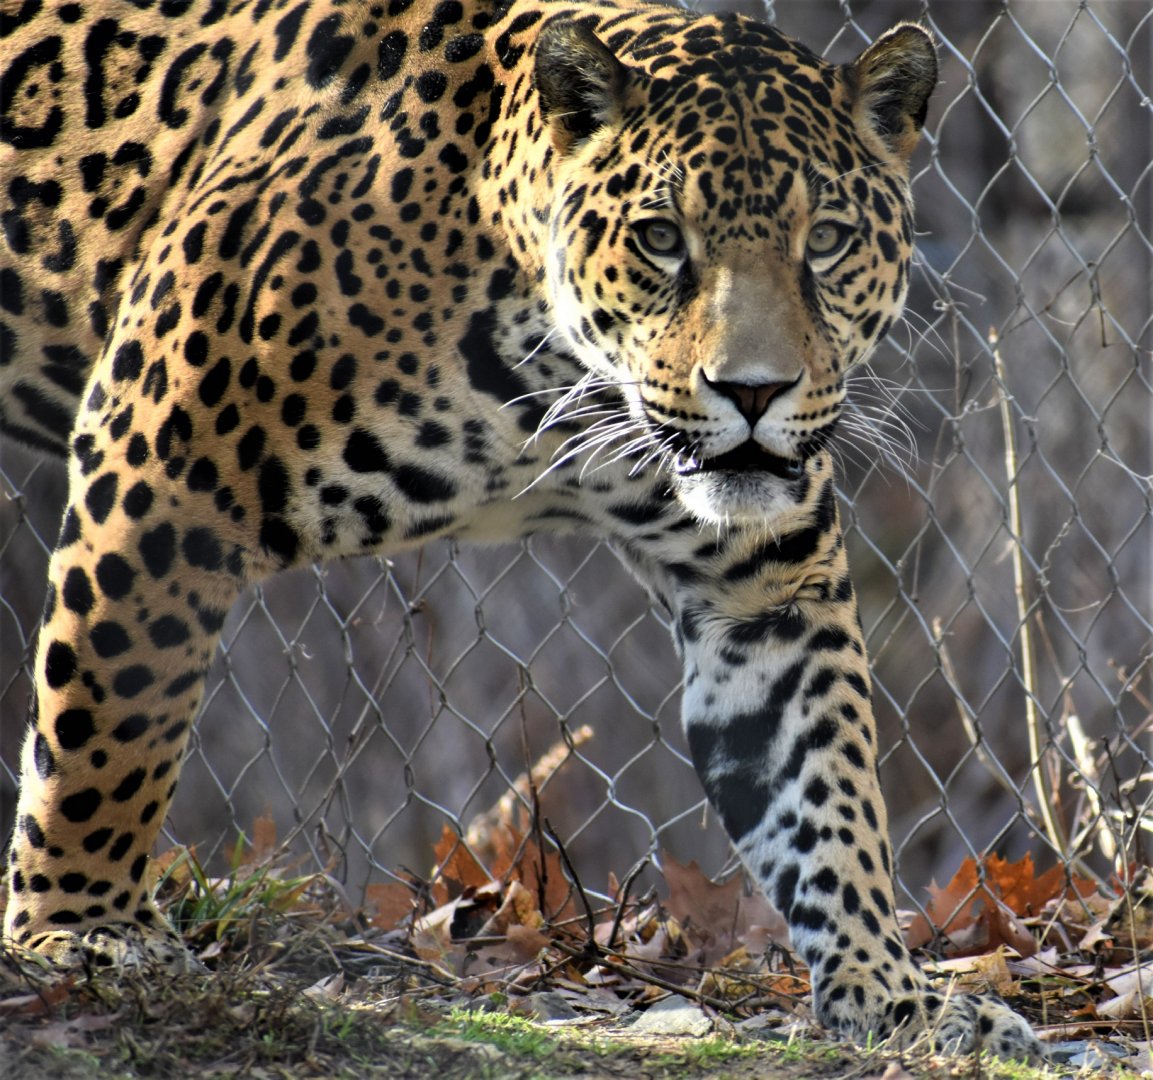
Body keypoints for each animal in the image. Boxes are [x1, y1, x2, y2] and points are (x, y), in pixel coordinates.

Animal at [0, 0, 1042, 1059]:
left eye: (824, 238)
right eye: (661, 238)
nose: (753, 392)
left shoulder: (768, 586)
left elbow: (822, 787)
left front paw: (894, 993)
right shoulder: (158, 466)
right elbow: (107, 725)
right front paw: (82, 928)